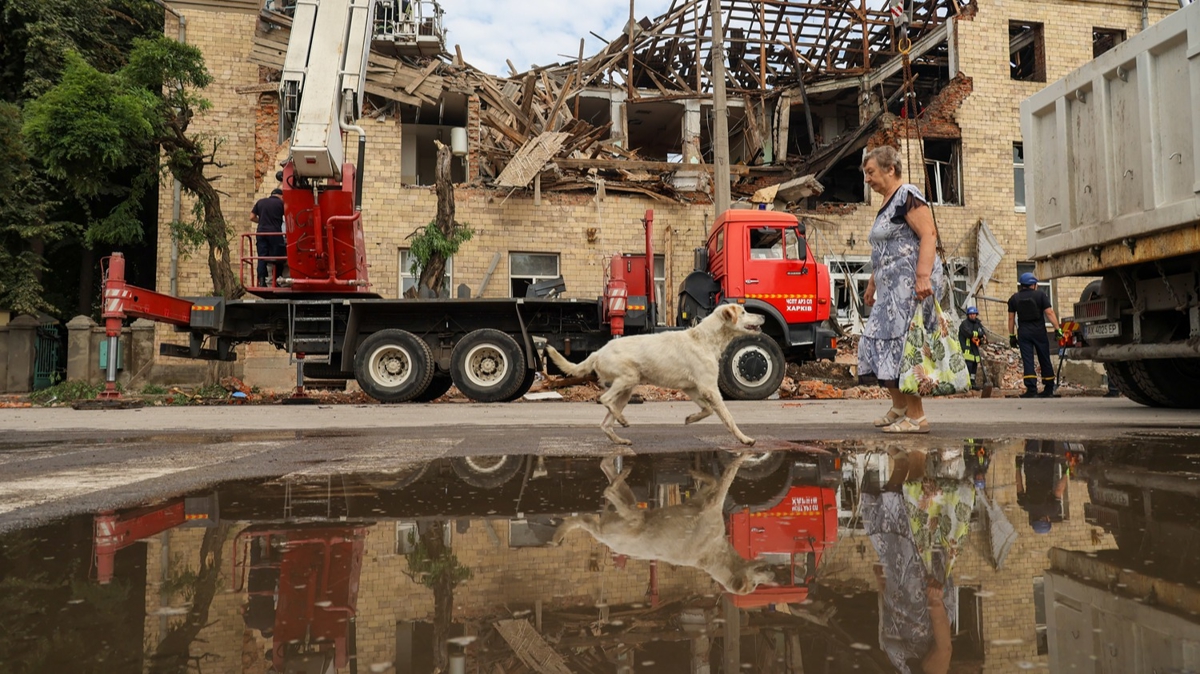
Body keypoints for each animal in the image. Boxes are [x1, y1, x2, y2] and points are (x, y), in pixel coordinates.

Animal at [542, 302, 758, 443]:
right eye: (744, 311)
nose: (762, 317)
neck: (703, 339)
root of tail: (598, 352)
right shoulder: (709, 388)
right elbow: (727, 417)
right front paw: (745, 439)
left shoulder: (693, 389)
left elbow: (708, 410)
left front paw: (690, 418)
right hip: (628, 379)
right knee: (604, 399)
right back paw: (622, 420)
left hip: (626, 391)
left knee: (605, 423)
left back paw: (620, 440)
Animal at [549, 450, 772, 592]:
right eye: (754, 585)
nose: (772, 575)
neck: (716, 556)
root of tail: (602, 537)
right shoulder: (713, 503)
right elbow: (727, 476)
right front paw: (745, 454)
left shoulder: (701, 499)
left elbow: (711, 480)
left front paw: (695, 472)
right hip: (634, 517)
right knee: (608, 490)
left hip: (626, 506)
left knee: (604, 473)